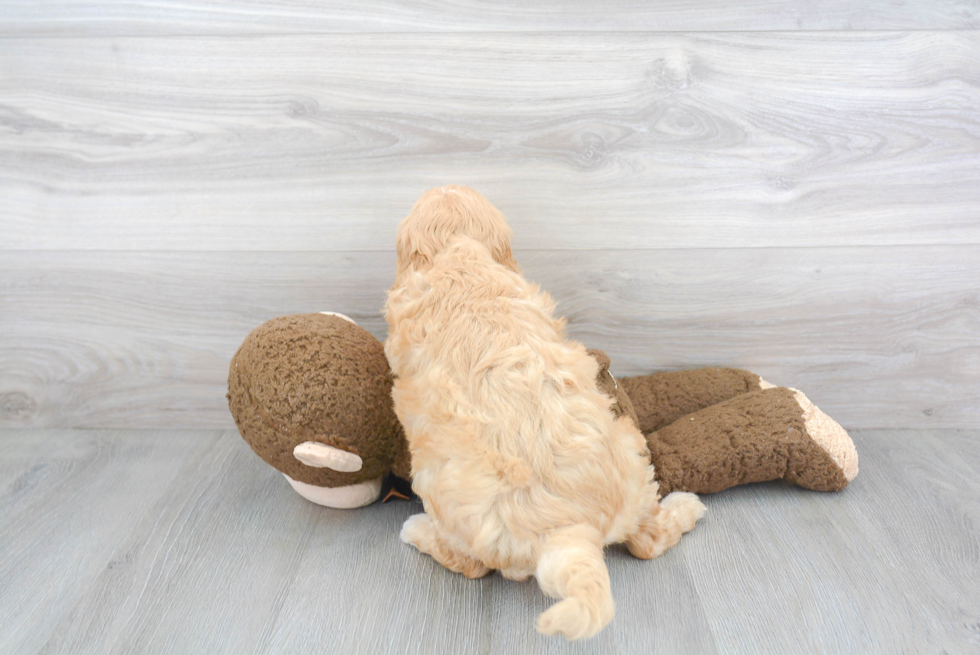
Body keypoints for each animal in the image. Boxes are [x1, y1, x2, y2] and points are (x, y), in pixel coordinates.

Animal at [384, 186, 704, 640]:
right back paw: (686, 508)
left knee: (472, 566)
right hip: (630, 452)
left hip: (437, 491)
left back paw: (417, 532)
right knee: (647, 539)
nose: (442, 185)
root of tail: (567, 529)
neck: (459, 258)